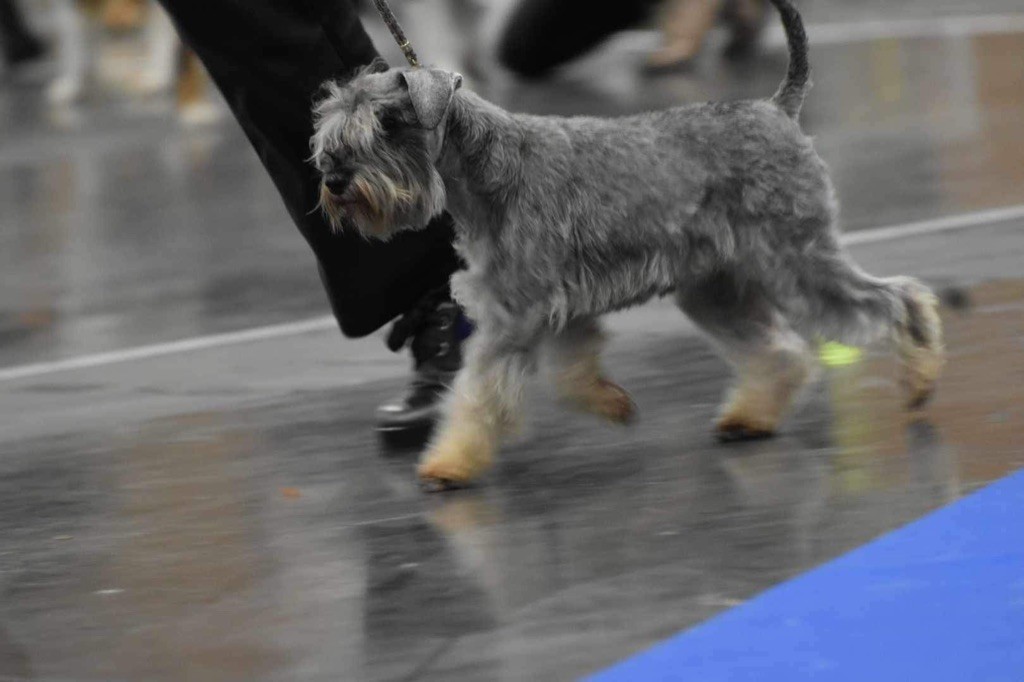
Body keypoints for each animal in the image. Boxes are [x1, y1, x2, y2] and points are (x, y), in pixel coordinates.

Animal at [310, 0, 945, 491]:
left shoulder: (514, 314)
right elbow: (570, 370)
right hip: (713, 291)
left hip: (801, 262)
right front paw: (610, 402)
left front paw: (447, 464)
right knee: (780, 351)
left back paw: (920, 377)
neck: (487, 169)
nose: (335, 179)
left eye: (388, 124)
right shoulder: (548, 309)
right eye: (332, 129)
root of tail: (776, 108)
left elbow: (477, 394)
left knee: (898, 298)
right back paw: (749, 418)